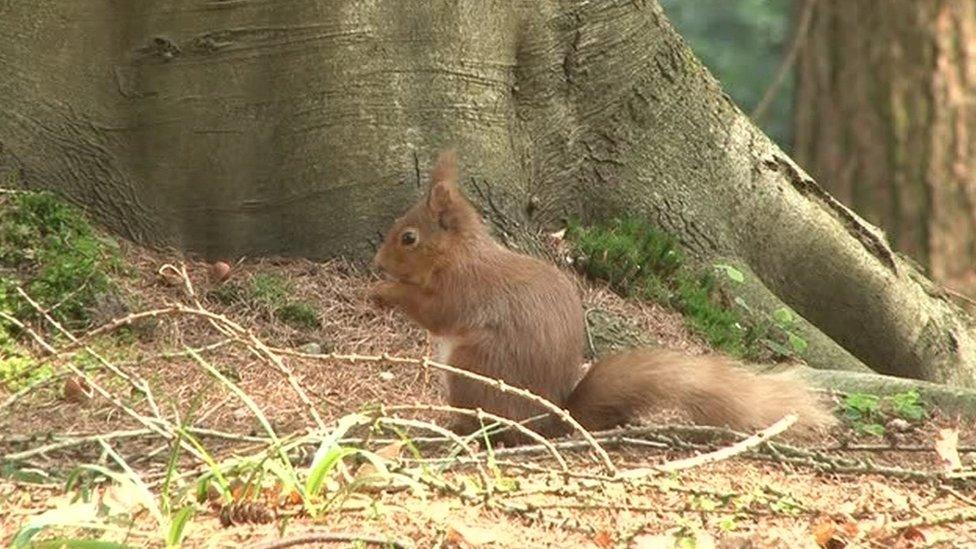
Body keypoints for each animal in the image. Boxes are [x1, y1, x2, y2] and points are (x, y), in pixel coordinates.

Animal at [370, 152, 836, 444]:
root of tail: (552, 419)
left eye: (408, 238)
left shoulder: (461, 289)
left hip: (473, 368)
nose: (377, 262)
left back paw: (462, 430)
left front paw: (385, 292)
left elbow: (432, 311)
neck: (459, 254)